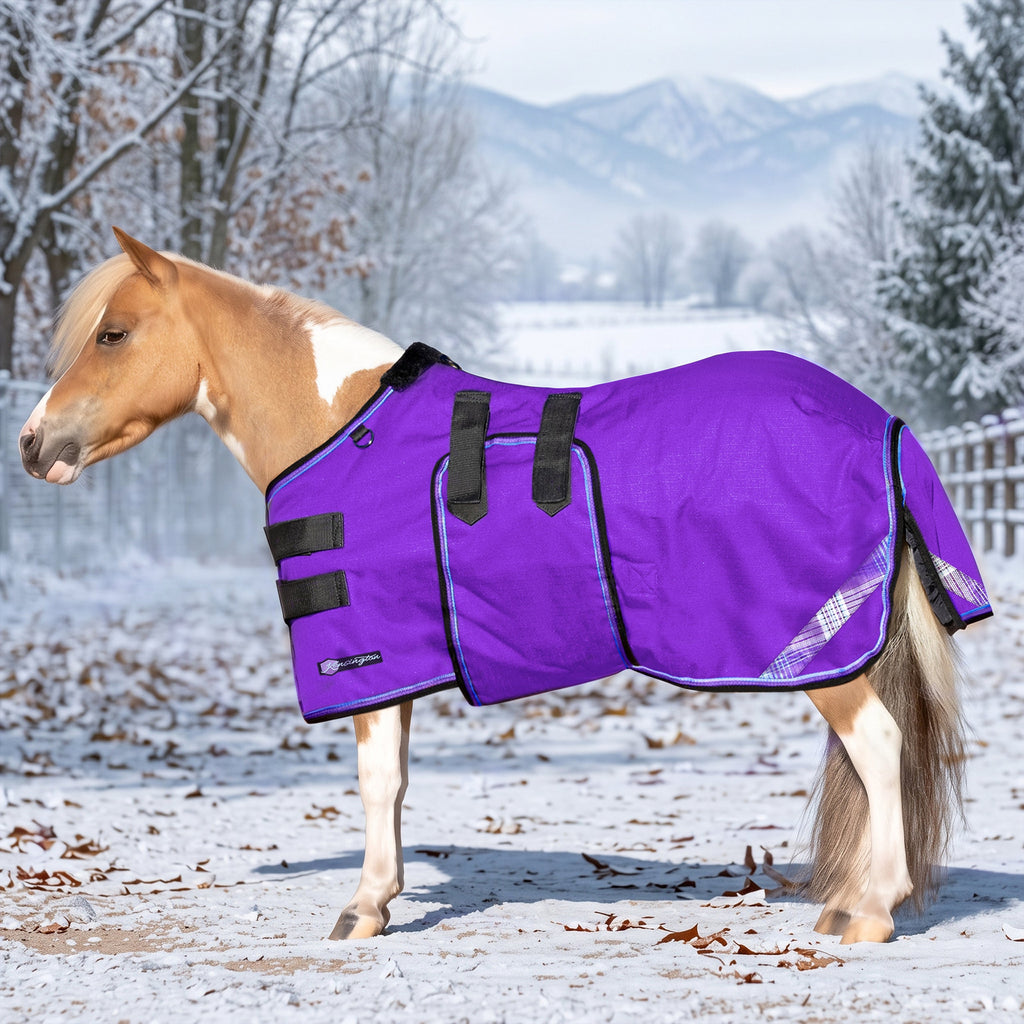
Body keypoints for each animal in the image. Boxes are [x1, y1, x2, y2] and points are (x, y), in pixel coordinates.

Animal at [18, 227, 989, 946]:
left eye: (113, 333)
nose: (33, 443)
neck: (343, 425)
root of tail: (878, 420)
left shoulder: (373, 654)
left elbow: (374, 780)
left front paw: (363, 908)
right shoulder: (403, 661)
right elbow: (397, 781)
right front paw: (382, 897)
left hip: (815, 651)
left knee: (879, 746)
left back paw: (871, 913)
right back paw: (851, 898)